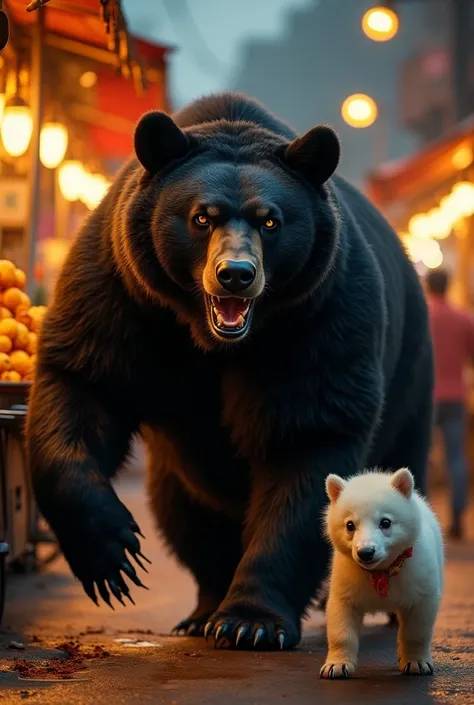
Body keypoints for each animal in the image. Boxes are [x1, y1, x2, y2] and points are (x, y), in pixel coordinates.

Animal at [26, 92, 434, 648]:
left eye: (270, 221)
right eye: (202, 217)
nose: (236, 275)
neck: (213, 340)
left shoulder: (319, 321)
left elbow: (307, 440)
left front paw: (251, 622)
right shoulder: (122, 294)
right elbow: (82, 385)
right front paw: (113, 556)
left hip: (411, 379)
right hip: (175, 471)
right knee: (186, 518)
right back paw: (201, 610)